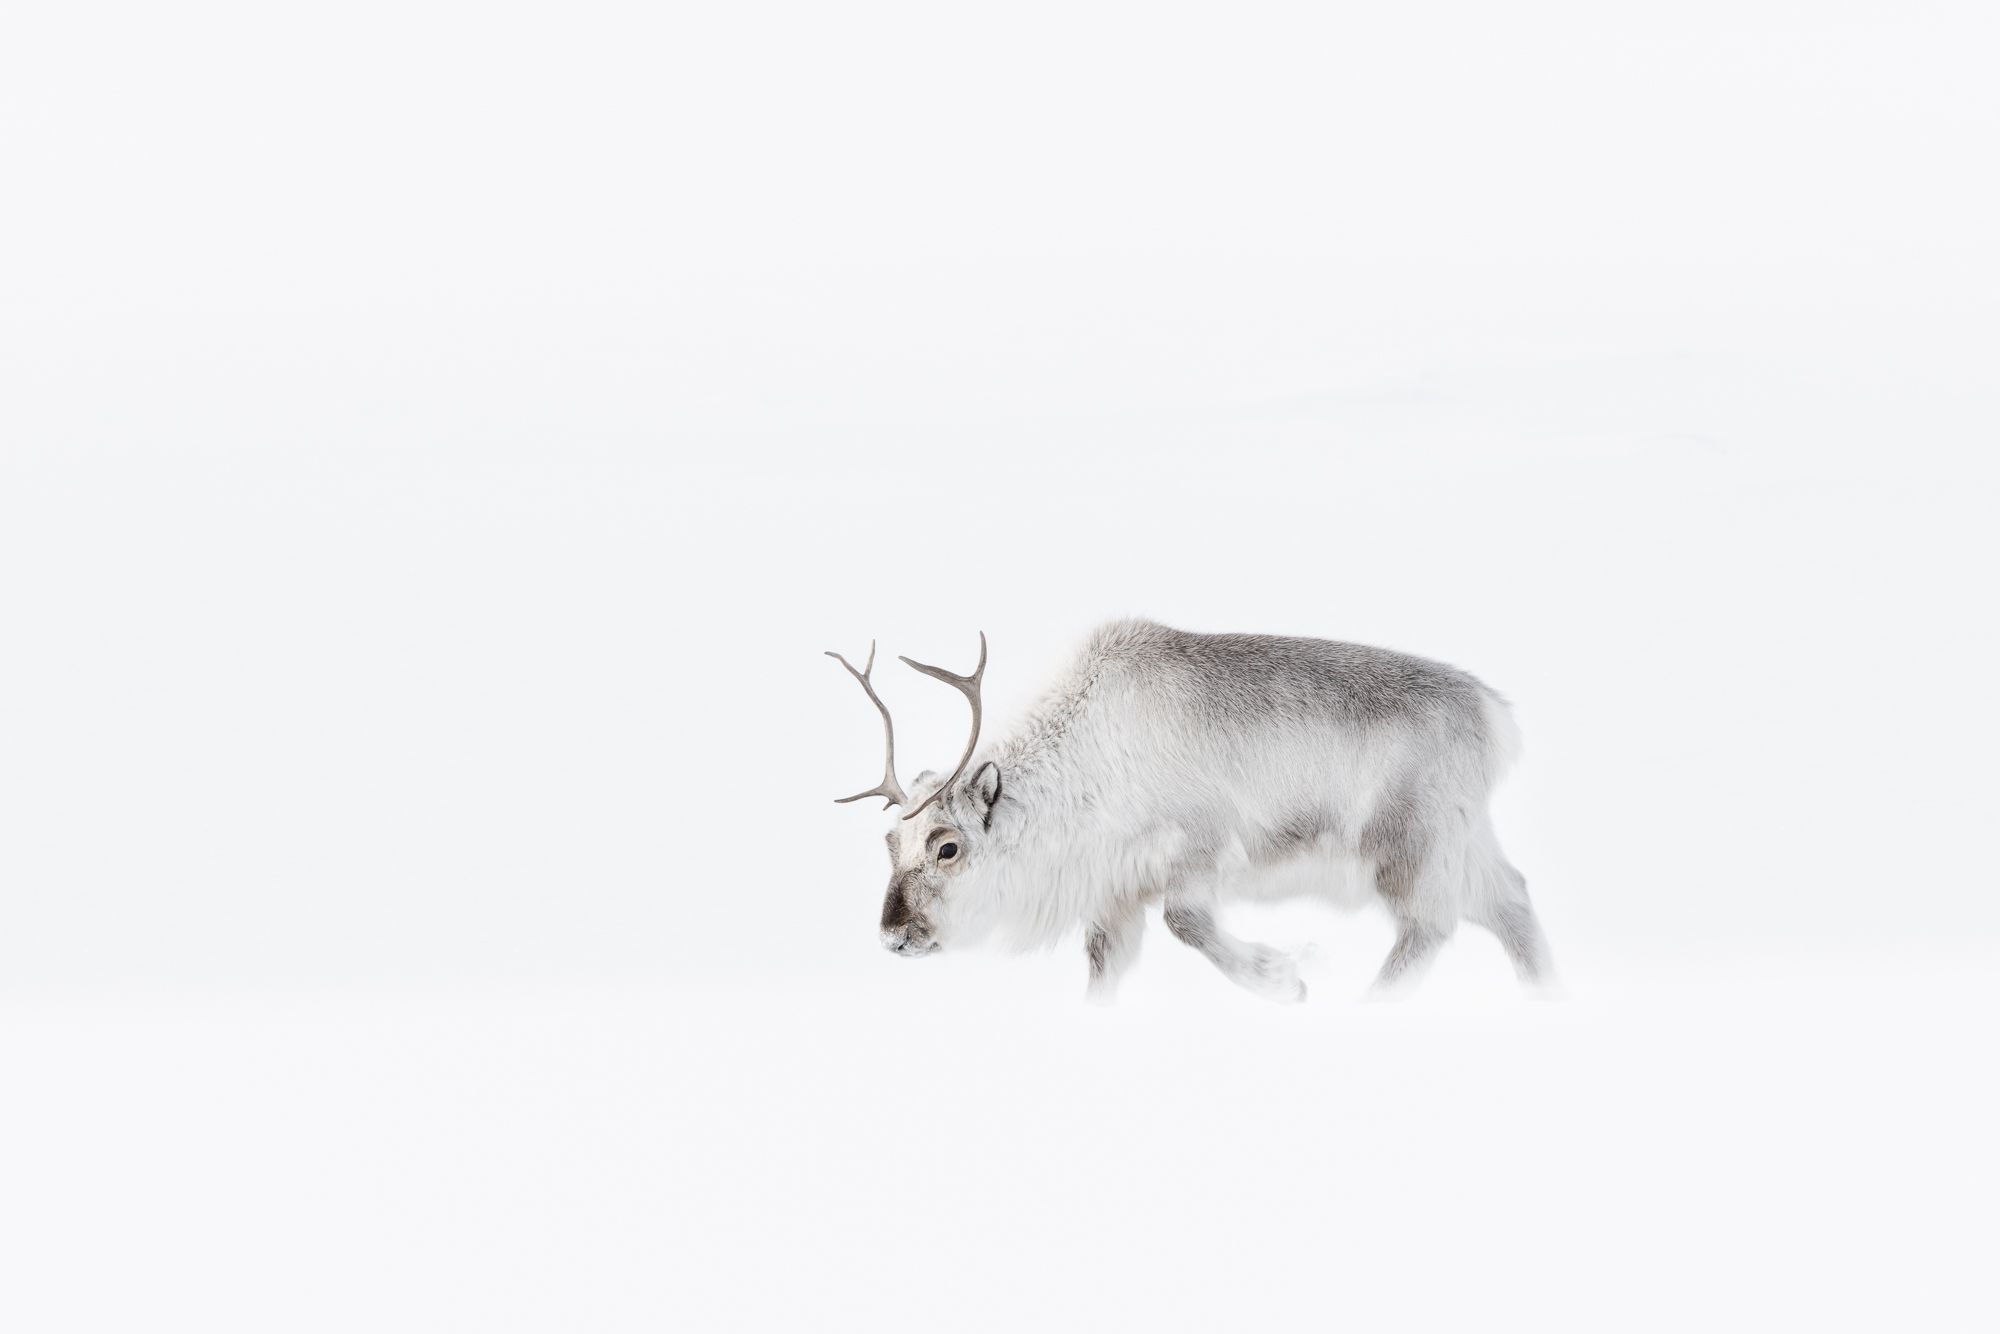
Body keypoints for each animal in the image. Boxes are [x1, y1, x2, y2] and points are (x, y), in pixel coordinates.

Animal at [826, 619, 1551, 1003]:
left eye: (948, 846)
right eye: (890, 842)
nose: (894, 938)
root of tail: (1499, 717)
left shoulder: (1198, 851)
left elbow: (1187, 924)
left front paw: (1282, 977)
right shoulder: (1114, 898)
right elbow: (1102, 972)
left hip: (1411, 844)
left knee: (1432, 924)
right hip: (1463, 840)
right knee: (1512, 900)